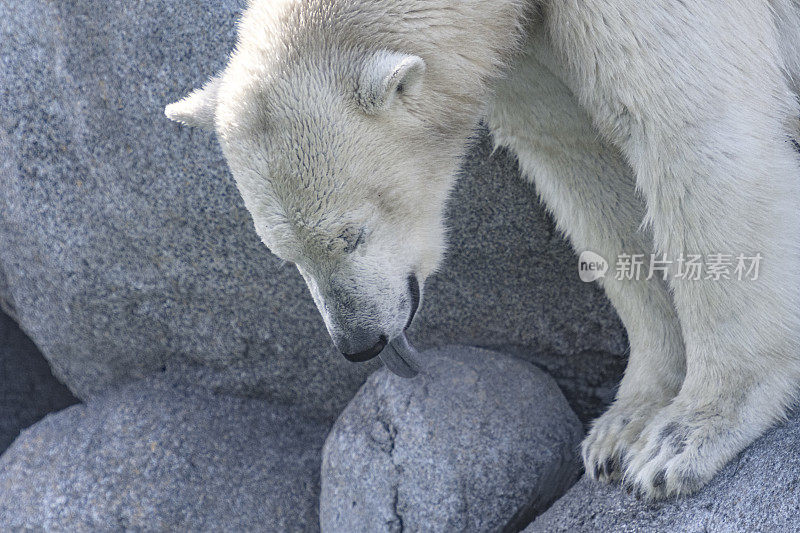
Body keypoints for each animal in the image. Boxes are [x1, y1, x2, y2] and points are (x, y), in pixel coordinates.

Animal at [166, 0, 800, 498]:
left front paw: (680, 440)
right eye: (283, 253)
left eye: (351, 233)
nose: (360, 342)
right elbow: (583, 161)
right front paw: (620, 429)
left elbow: (690, 131)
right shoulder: (525, 45)